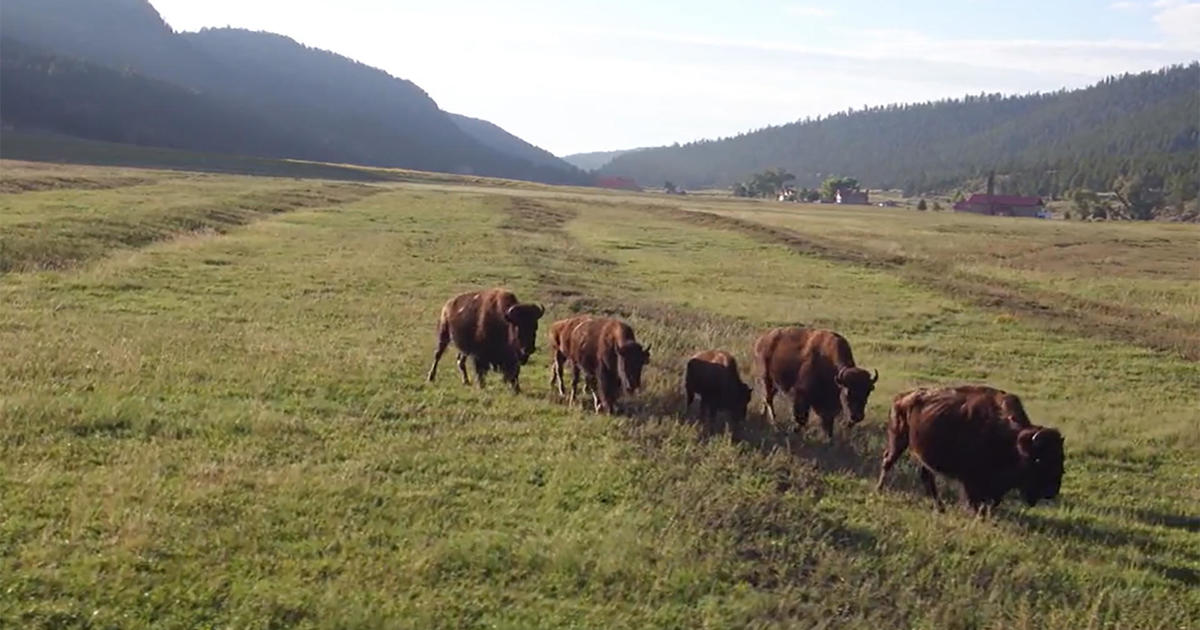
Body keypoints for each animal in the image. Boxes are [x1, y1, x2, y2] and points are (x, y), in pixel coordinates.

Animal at [873, 384, 1070, 516]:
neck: (1012, 439)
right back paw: (879, 490)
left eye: (1061, 458)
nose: (1051, 491)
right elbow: (974, 500)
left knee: (926, 477)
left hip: (921, 455)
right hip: (898, 439)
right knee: (888, 461)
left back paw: (940, 507)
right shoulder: (971, 481)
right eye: (1038, 460)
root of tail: (900, 397)